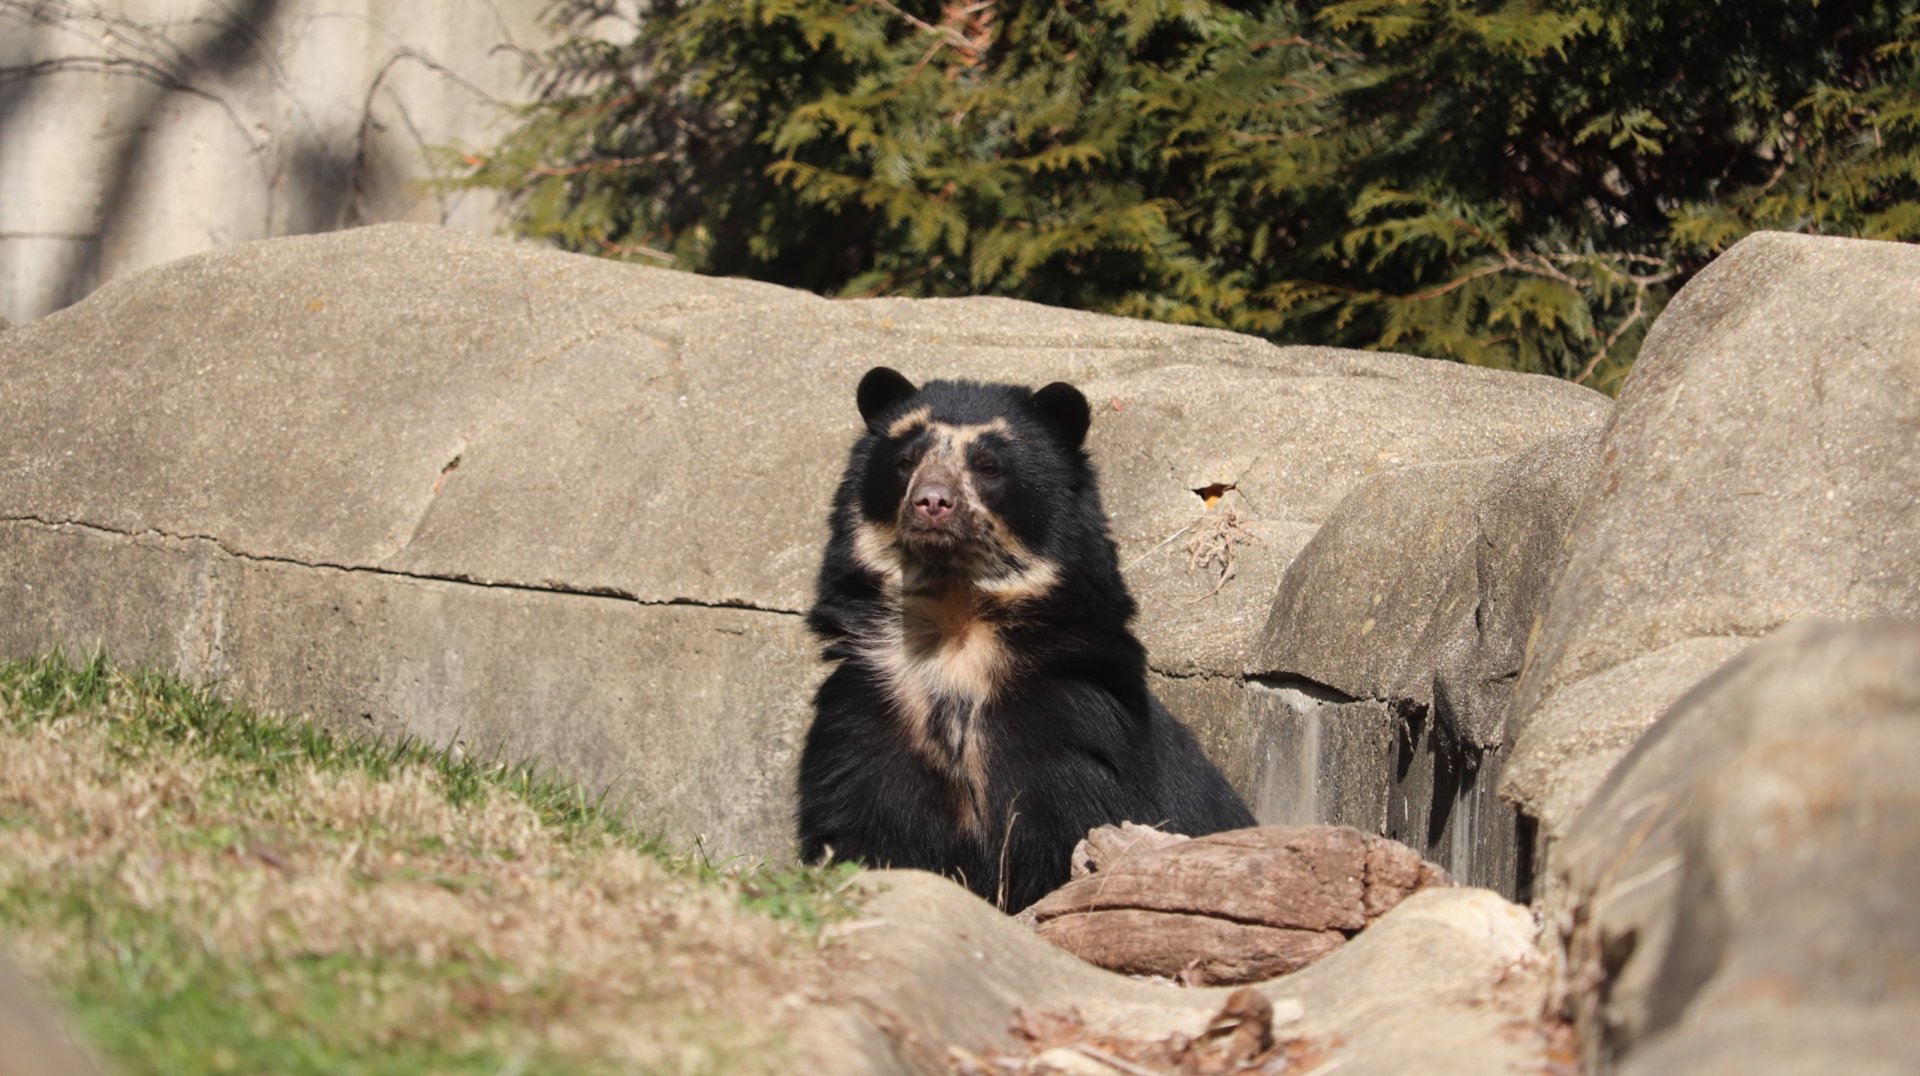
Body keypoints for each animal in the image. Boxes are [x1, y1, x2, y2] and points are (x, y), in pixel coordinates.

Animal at [797, 367, 1255, 912]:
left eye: (988, 465)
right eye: (905, 460)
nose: (932, 502)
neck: (958, 625)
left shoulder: (1073, 728)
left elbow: (1072, 828)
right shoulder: (865, 716)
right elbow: (854, 821)